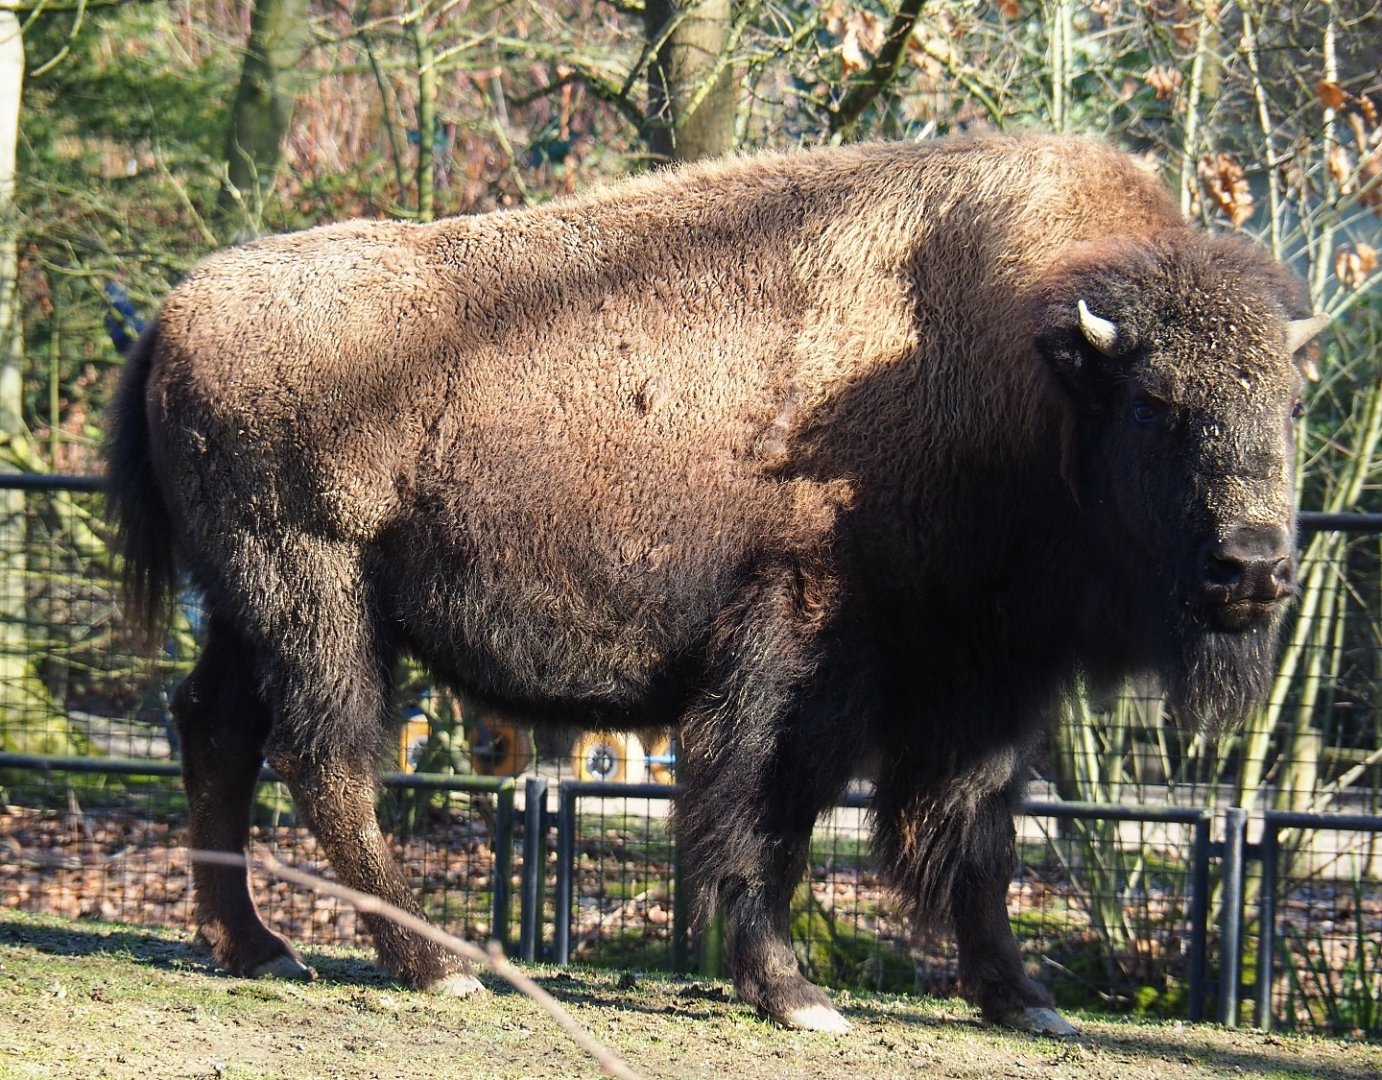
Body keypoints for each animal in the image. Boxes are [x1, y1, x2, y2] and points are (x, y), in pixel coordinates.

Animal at [107, 133, 1325, 1035]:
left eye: (1289, 401)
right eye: (1153, 405)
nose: (1254, 566)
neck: (1015, 363)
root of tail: (174, 310)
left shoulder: (989, 679)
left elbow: (978, 833)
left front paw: (1022, 1001)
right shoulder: (800, 654)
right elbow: (769, 814)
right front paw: (797, 996)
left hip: (247, 611)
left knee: (214, 730)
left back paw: (259, 949)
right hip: (315, 595)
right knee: (325, 757)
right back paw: (432, 966)